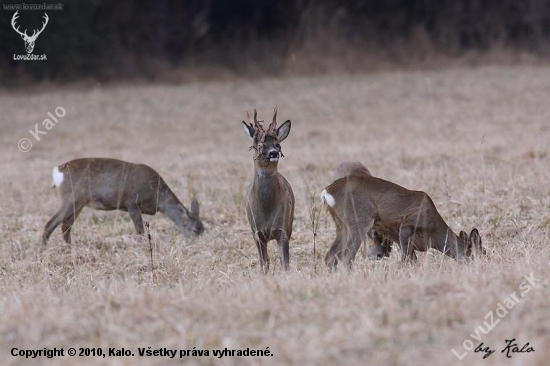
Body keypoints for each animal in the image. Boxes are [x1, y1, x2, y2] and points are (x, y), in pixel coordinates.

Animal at [41, 157, 205, 246]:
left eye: (203, 229)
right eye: (194, 230)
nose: (197, 244)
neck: (157, 196)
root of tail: (58, 171)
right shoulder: (131, 201)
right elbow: (140, 230)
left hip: (78, 203)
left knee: (65, 227)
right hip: (72, 198)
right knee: (51, 224)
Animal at [244, 107, 296, 274]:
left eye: (277, 144)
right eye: (259, 145)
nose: (273, 153)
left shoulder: (283, 229)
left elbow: (285, 263)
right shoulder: (256, 233)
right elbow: (264, 263)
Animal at [322, 171, 486, 268]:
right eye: (482, 252)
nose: (485, 264)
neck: (434, 233)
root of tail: (327, 191)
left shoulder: (399, 237)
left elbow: (413, 260)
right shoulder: (406, 227)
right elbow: (406, 260)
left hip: (341, 224)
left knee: (331, 256)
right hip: (360, 218)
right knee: (346, 257)